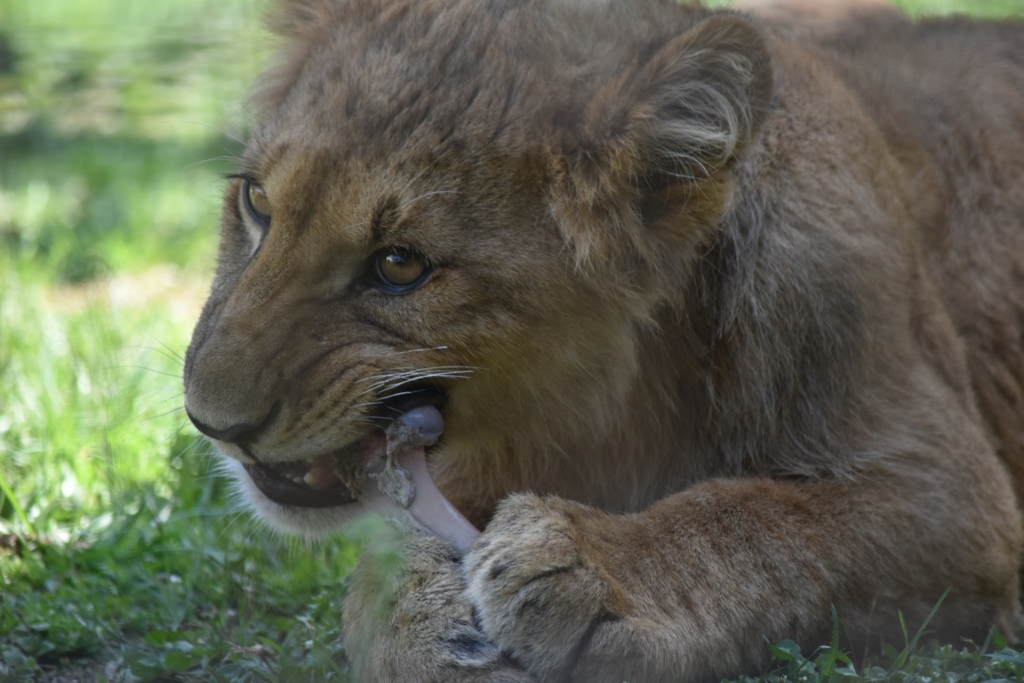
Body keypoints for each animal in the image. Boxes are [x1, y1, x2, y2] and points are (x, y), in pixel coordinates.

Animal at [182, 0, 1024, 680]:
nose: (209, 420)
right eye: (257, 201)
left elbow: (768, 520)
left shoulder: (955, 492)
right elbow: (376, 578)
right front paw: (430, 624)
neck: (620, 407)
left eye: (399, 265)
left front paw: (589, 567)